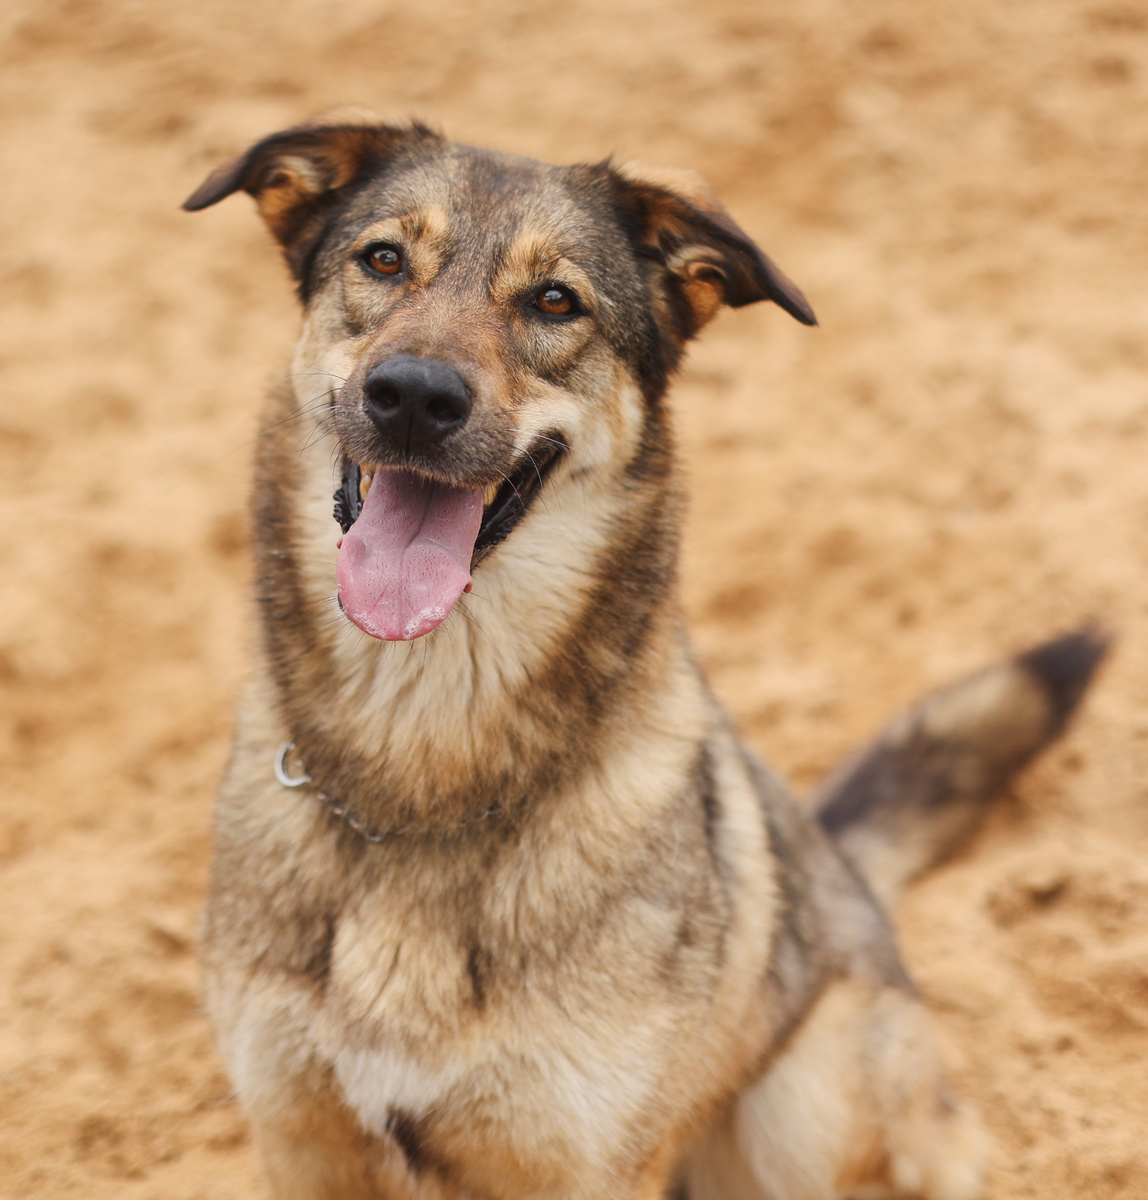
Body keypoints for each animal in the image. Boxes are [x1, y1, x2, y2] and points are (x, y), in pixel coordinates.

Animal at [183, 108, 1108, 1195]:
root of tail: (838, 863)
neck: (418, 783)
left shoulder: (581, 1157)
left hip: (805, 1111)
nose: (410, 396)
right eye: (381, 260)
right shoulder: (299, 1135)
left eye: (555, 301)